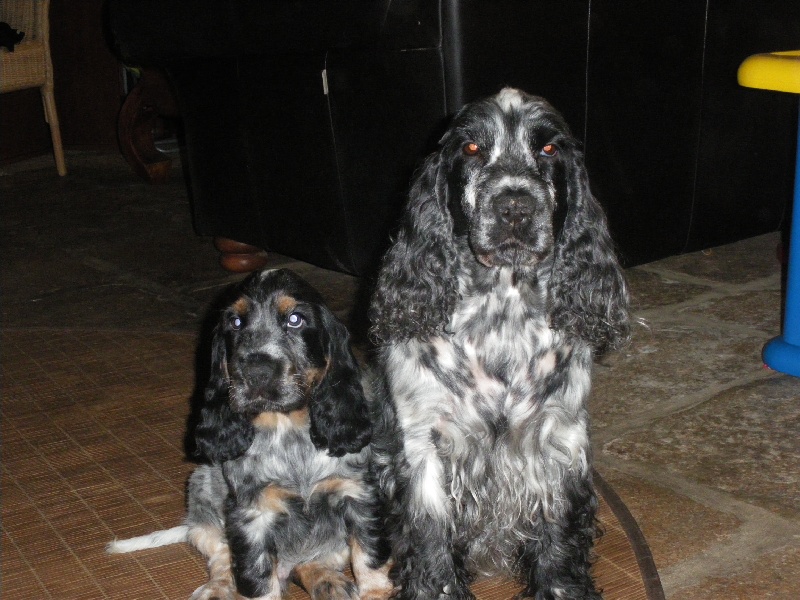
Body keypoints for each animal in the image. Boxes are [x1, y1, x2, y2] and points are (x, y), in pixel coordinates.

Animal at [108, 268, 392, 600]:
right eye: (236, 323)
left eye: (295, 319)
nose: (256, 372)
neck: (288, 430)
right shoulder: (251, 515)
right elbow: (257, 580)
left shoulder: (358, 495)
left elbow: (369, 558)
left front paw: (374, 592)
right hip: (202, 493)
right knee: (221, 559)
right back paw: (216, 589)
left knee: (310, 562)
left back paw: (328, 581)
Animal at [369, 88, 630, 600]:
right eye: (471, 148)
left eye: (548, 148)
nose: (515, 207)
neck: (501, 316)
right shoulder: (423, 449)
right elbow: (430, 545)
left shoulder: (559, 442)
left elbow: (559, 544)